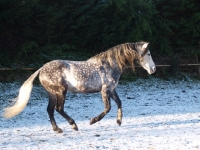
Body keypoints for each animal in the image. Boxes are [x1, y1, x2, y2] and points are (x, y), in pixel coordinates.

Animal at [2, 41, 156, 133]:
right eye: (148, 53)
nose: (153, 69)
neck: (109, 65)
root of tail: (41, 69)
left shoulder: (112, 89)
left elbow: (119, 102)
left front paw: (118, 121)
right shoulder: (105, 90)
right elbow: (108, 108)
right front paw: (93, 121)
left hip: (52, 93)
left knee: (50, 110)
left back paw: (57, 129)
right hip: (61, 92)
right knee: (58, 109)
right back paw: (73, 125)